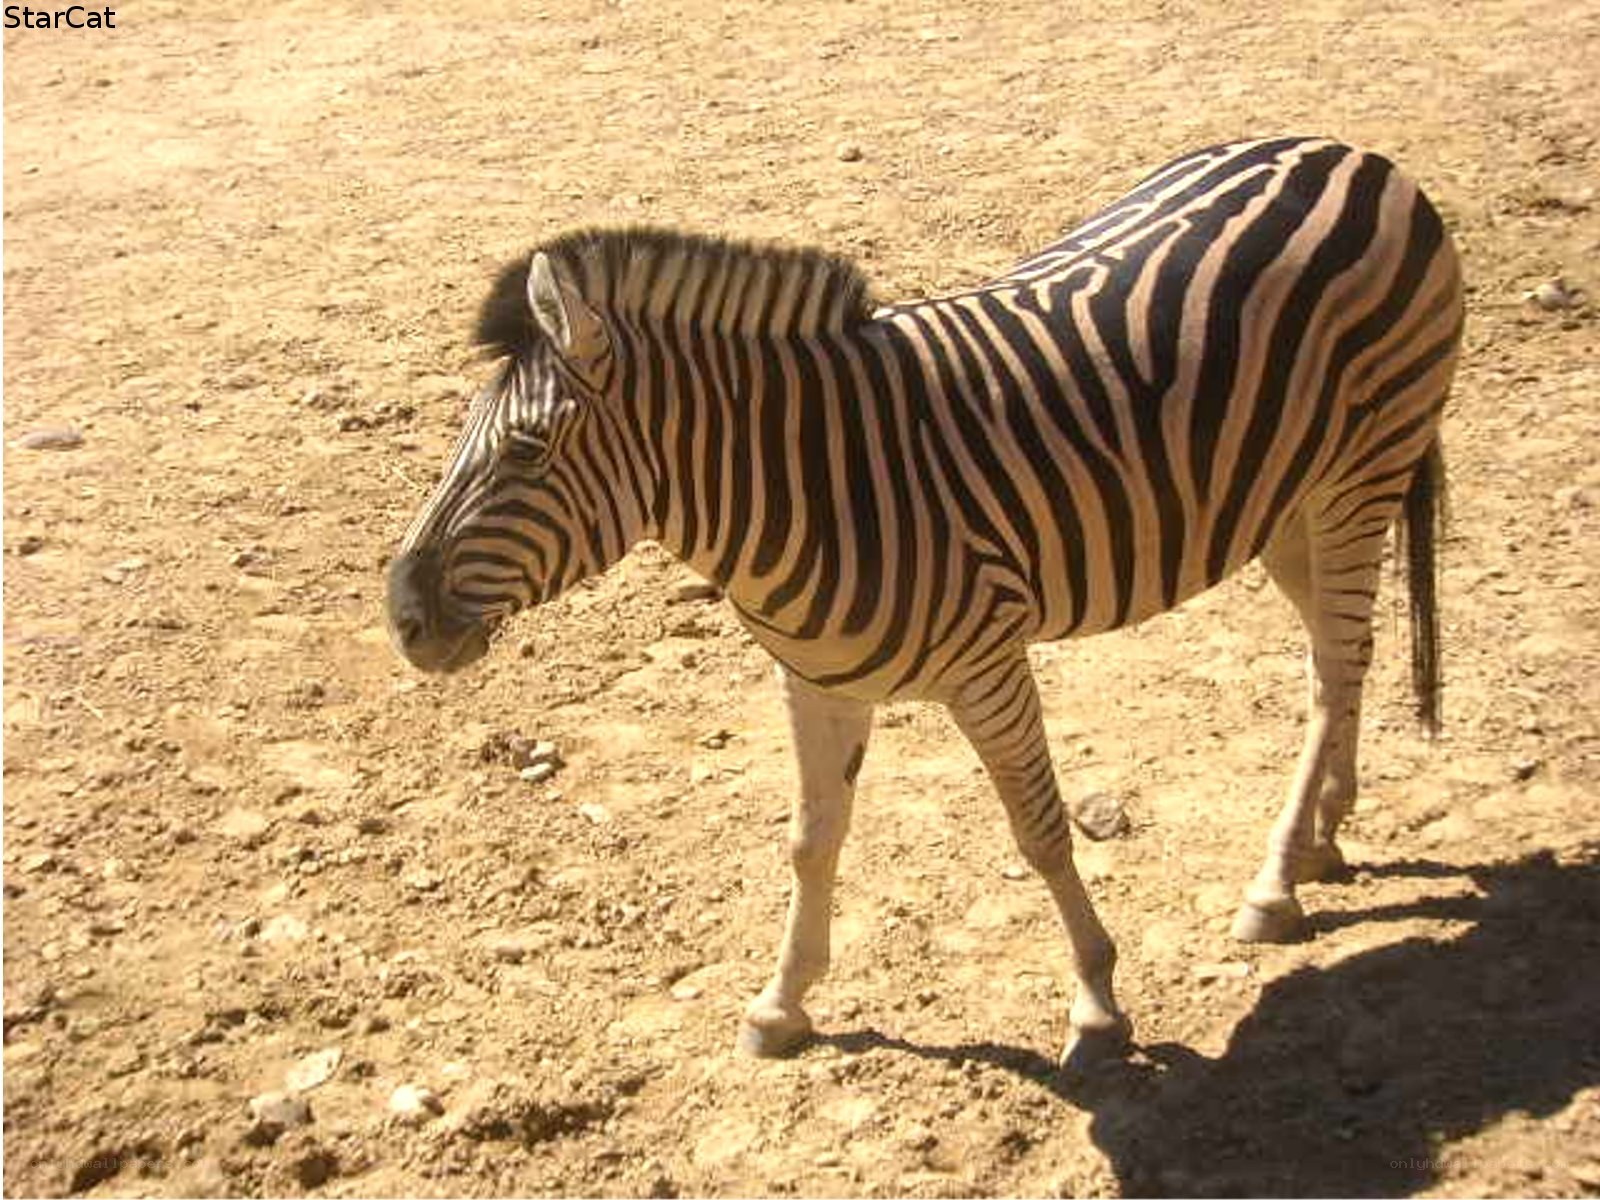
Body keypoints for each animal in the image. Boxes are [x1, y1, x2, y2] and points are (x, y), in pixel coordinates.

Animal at [386, 136, 1462, 1071]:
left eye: (526, 449)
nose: (400, 617)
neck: (809, 485)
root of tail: (1349, 153)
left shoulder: (990, 664)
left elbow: (1040, 831)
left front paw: (1097, 1005)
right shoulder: (812, 680)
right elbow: (809, 842)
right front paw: (781, 1004)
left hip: (1360, 473)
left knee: (1331, 670)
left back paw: (1276, 883)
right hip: (1283, 502)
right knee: (1343, 655)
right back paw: (1323, 837)